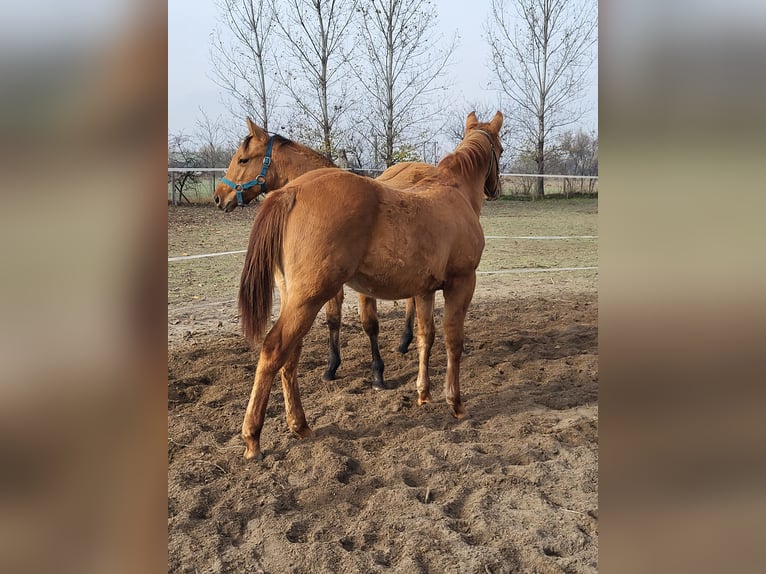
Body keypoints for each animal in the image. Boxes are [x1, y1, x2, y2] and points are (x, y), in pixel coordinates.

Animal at [213, 118, 432, 388]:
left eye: (243, 160)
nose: (218, 197)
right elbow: (333, 319)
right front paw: (332, 367)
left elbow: (369, 324)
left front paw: (378, 372)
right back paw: (404, 342)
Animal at [237, 111, 503, 460]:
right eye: (500, 149)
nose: (496, 188)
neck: (453, 193)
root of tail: (290, 192)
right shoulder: (461, 283)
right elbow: (453, 342)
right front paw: (455, 403)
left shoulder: (425, 290)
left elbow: (425, 337)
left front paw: (423, 393)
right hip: (308, 299)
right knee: (273, 350)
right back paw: (253, 436)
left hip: (297, 298)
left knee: (290, 355)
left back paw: (300, 425)